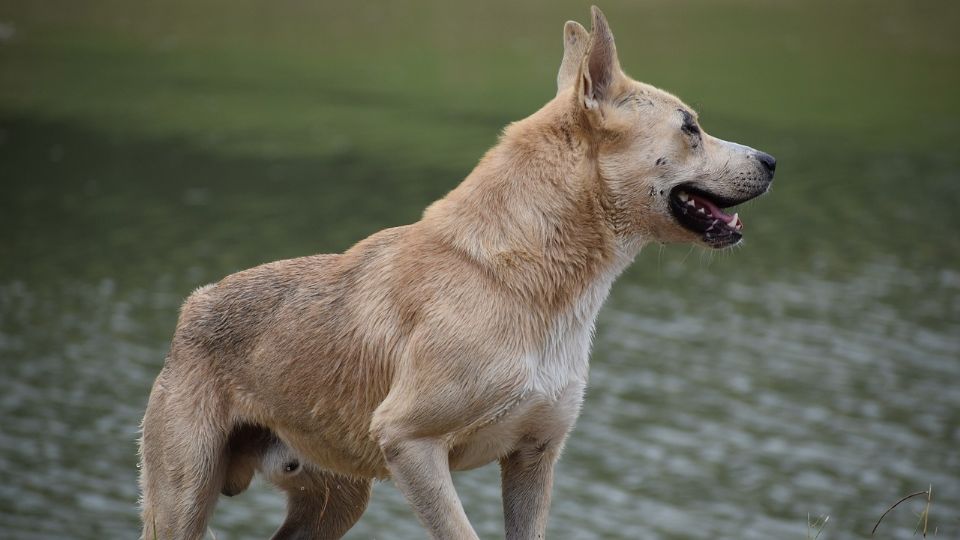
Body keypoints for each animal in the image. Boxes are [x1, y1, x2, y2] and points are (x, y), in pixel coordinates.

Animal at [139, 6, 776, 536]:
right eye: (690, 127)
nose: (771, 161)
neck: (526, 282)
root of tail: (192, 305)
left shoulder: (534, 457)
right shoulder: (410, 444)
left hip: (337, 500)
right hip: (183, 500)